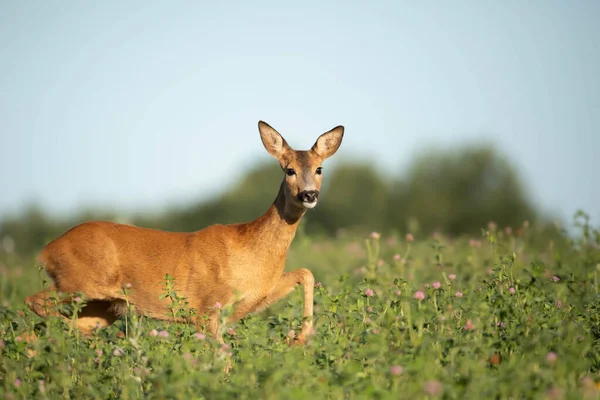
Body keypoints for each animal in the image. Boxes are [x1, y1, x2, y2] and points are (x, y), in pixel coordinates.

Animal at [24, 121, 342, 346]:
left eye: (319, 168)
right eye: (289, 170)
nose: (309, 194)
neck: (251, 249)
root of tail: (46, 250)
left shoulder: (257, 296)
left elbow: (306, 273)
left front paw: (298, 339)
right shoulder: (208, 309)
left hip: (101, 307)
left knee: (34, 332)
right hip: (78, 283)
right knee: (34, 303)